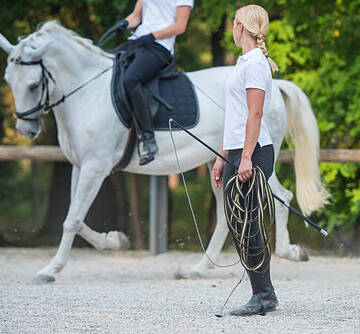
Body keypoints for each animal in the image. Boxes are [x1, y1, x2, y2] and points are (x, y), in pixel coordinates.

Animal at [0, 21, 328, 282]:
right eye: (8, 81)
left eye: (33, 85)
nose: (26, 130)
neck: (87, 91)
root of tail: (275, 84)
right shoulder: (80, 166)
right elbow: (76, 218)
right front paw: (116, 242)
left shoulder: (95, 166)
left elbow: (71, 219)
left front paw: (50, 270)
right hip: (218, 163)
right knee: (227, 215)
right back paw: (199, 268)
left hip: (251, 160)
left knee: (282, 197)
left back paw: (290, 251)